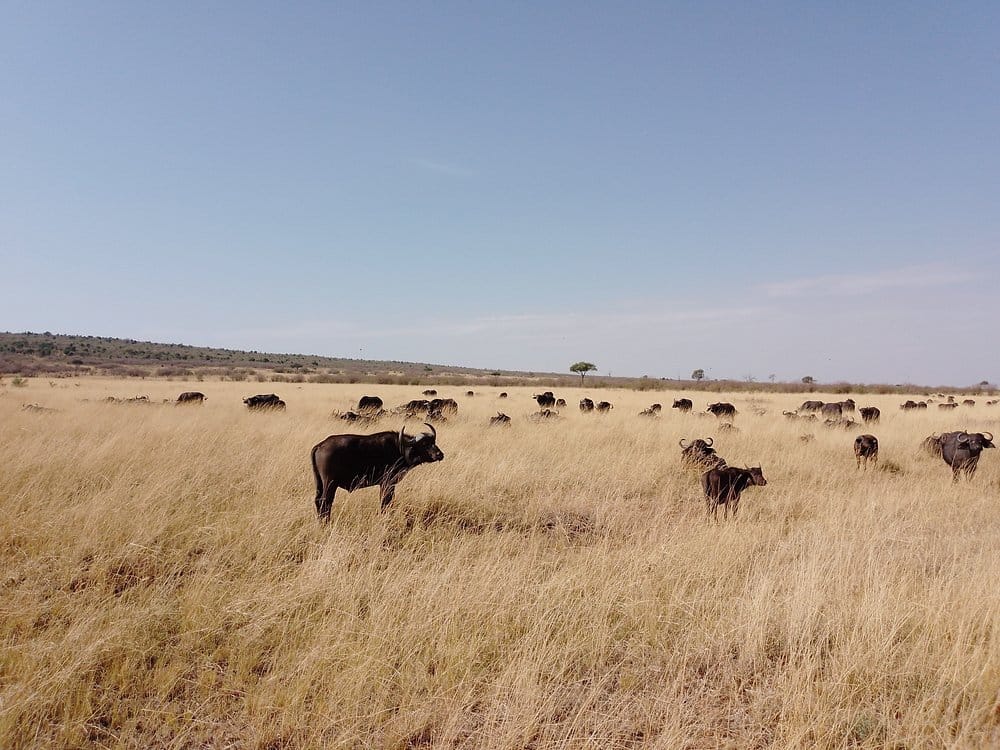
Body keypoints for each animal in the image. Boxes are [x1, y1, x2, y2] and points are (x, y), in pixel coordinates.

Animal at [311, 423, 444, 519]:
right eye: (424, 444)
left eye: (433, 442)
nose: (440, 454)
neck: (399, 448)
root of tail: (321, 445)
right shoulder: (387, 483)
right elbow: (386, 502)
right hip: (330, 483)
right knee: (325, 502)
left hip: (319, 483)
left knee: (318, 501)